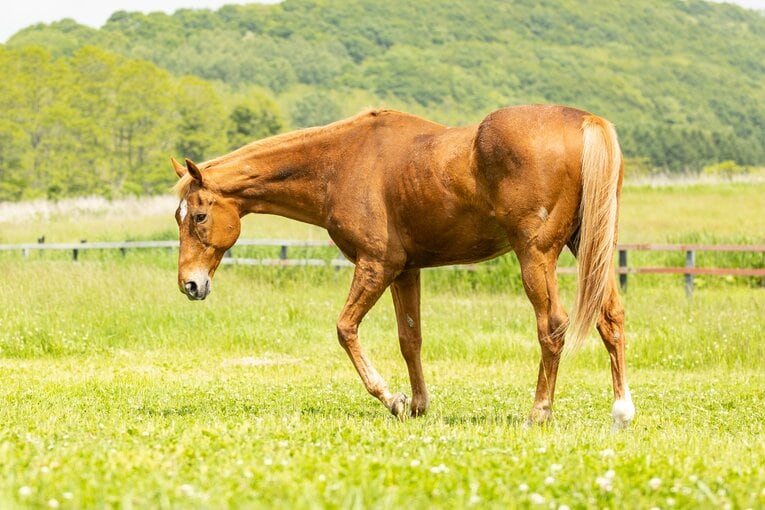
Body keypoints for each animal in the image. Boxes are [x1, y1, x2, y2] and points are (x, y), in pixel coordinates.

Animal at [171, 104, 634, 429]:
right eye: (179, 216)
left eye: (198, 216)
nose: (189, 284)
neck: (341, 163)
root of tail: (585, 121)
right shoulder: (406, 272)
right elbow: (410, 339)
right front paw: (417, 405)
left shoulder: (377, 265)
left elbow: (345, 329)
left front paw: (391, 399)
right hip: (592, 248)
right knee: (610, 318)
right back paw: (621, 410)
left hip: (535, 256)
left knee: (552, 325)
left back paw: (539, 412)